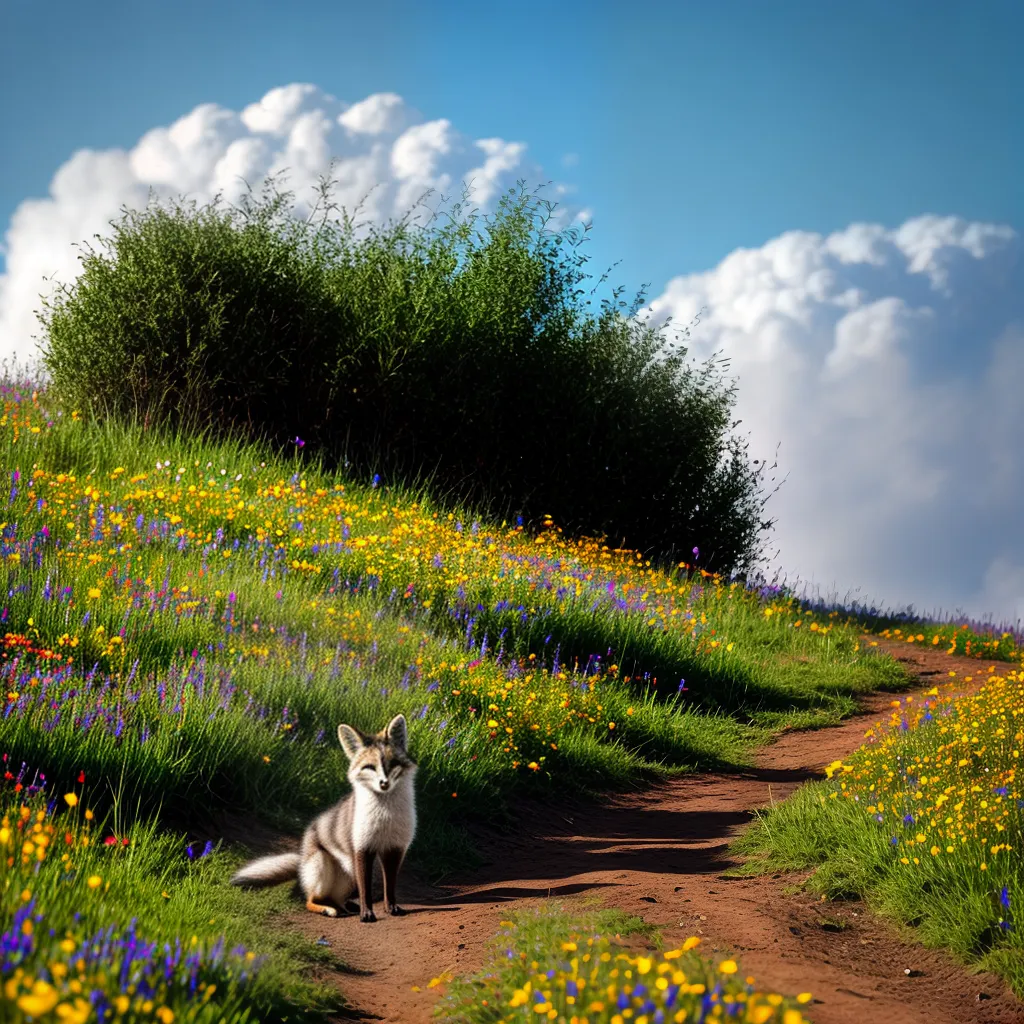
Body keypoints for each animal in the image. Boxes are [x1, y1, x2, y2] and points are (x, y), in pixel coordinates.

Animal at [231, 713, 417, 922]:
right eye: (369, 767)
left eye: (392, 764)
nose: (384, 784)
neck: (386, 817)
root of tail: (302, 861)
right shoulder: (361, 847)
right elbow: (366, 891)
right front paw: (367, 914)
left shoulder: (396, 848)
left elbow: (389, 888)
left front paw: (391, 908)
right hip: (324, 866)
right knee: (311, 900)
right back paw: (328, 909)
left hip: (347, 880)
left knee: (336, 900)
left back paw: (345, 907)